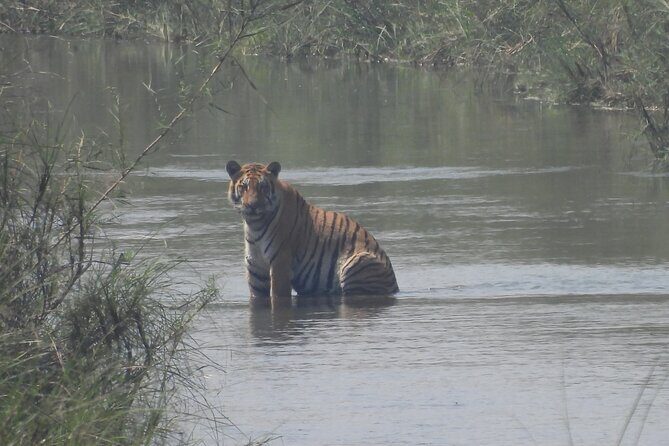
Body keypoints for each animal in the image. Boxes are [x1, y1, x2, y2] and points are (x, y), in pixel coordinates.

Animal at [226, 161, 399, 306]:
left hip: (357, 262)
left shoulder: (280, 261)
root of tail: (395, 286)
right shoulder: (255, 268)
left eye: (263, 187)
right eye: (243, 187)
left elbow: (277, 295)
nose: (252, 205)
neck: (254, 225)